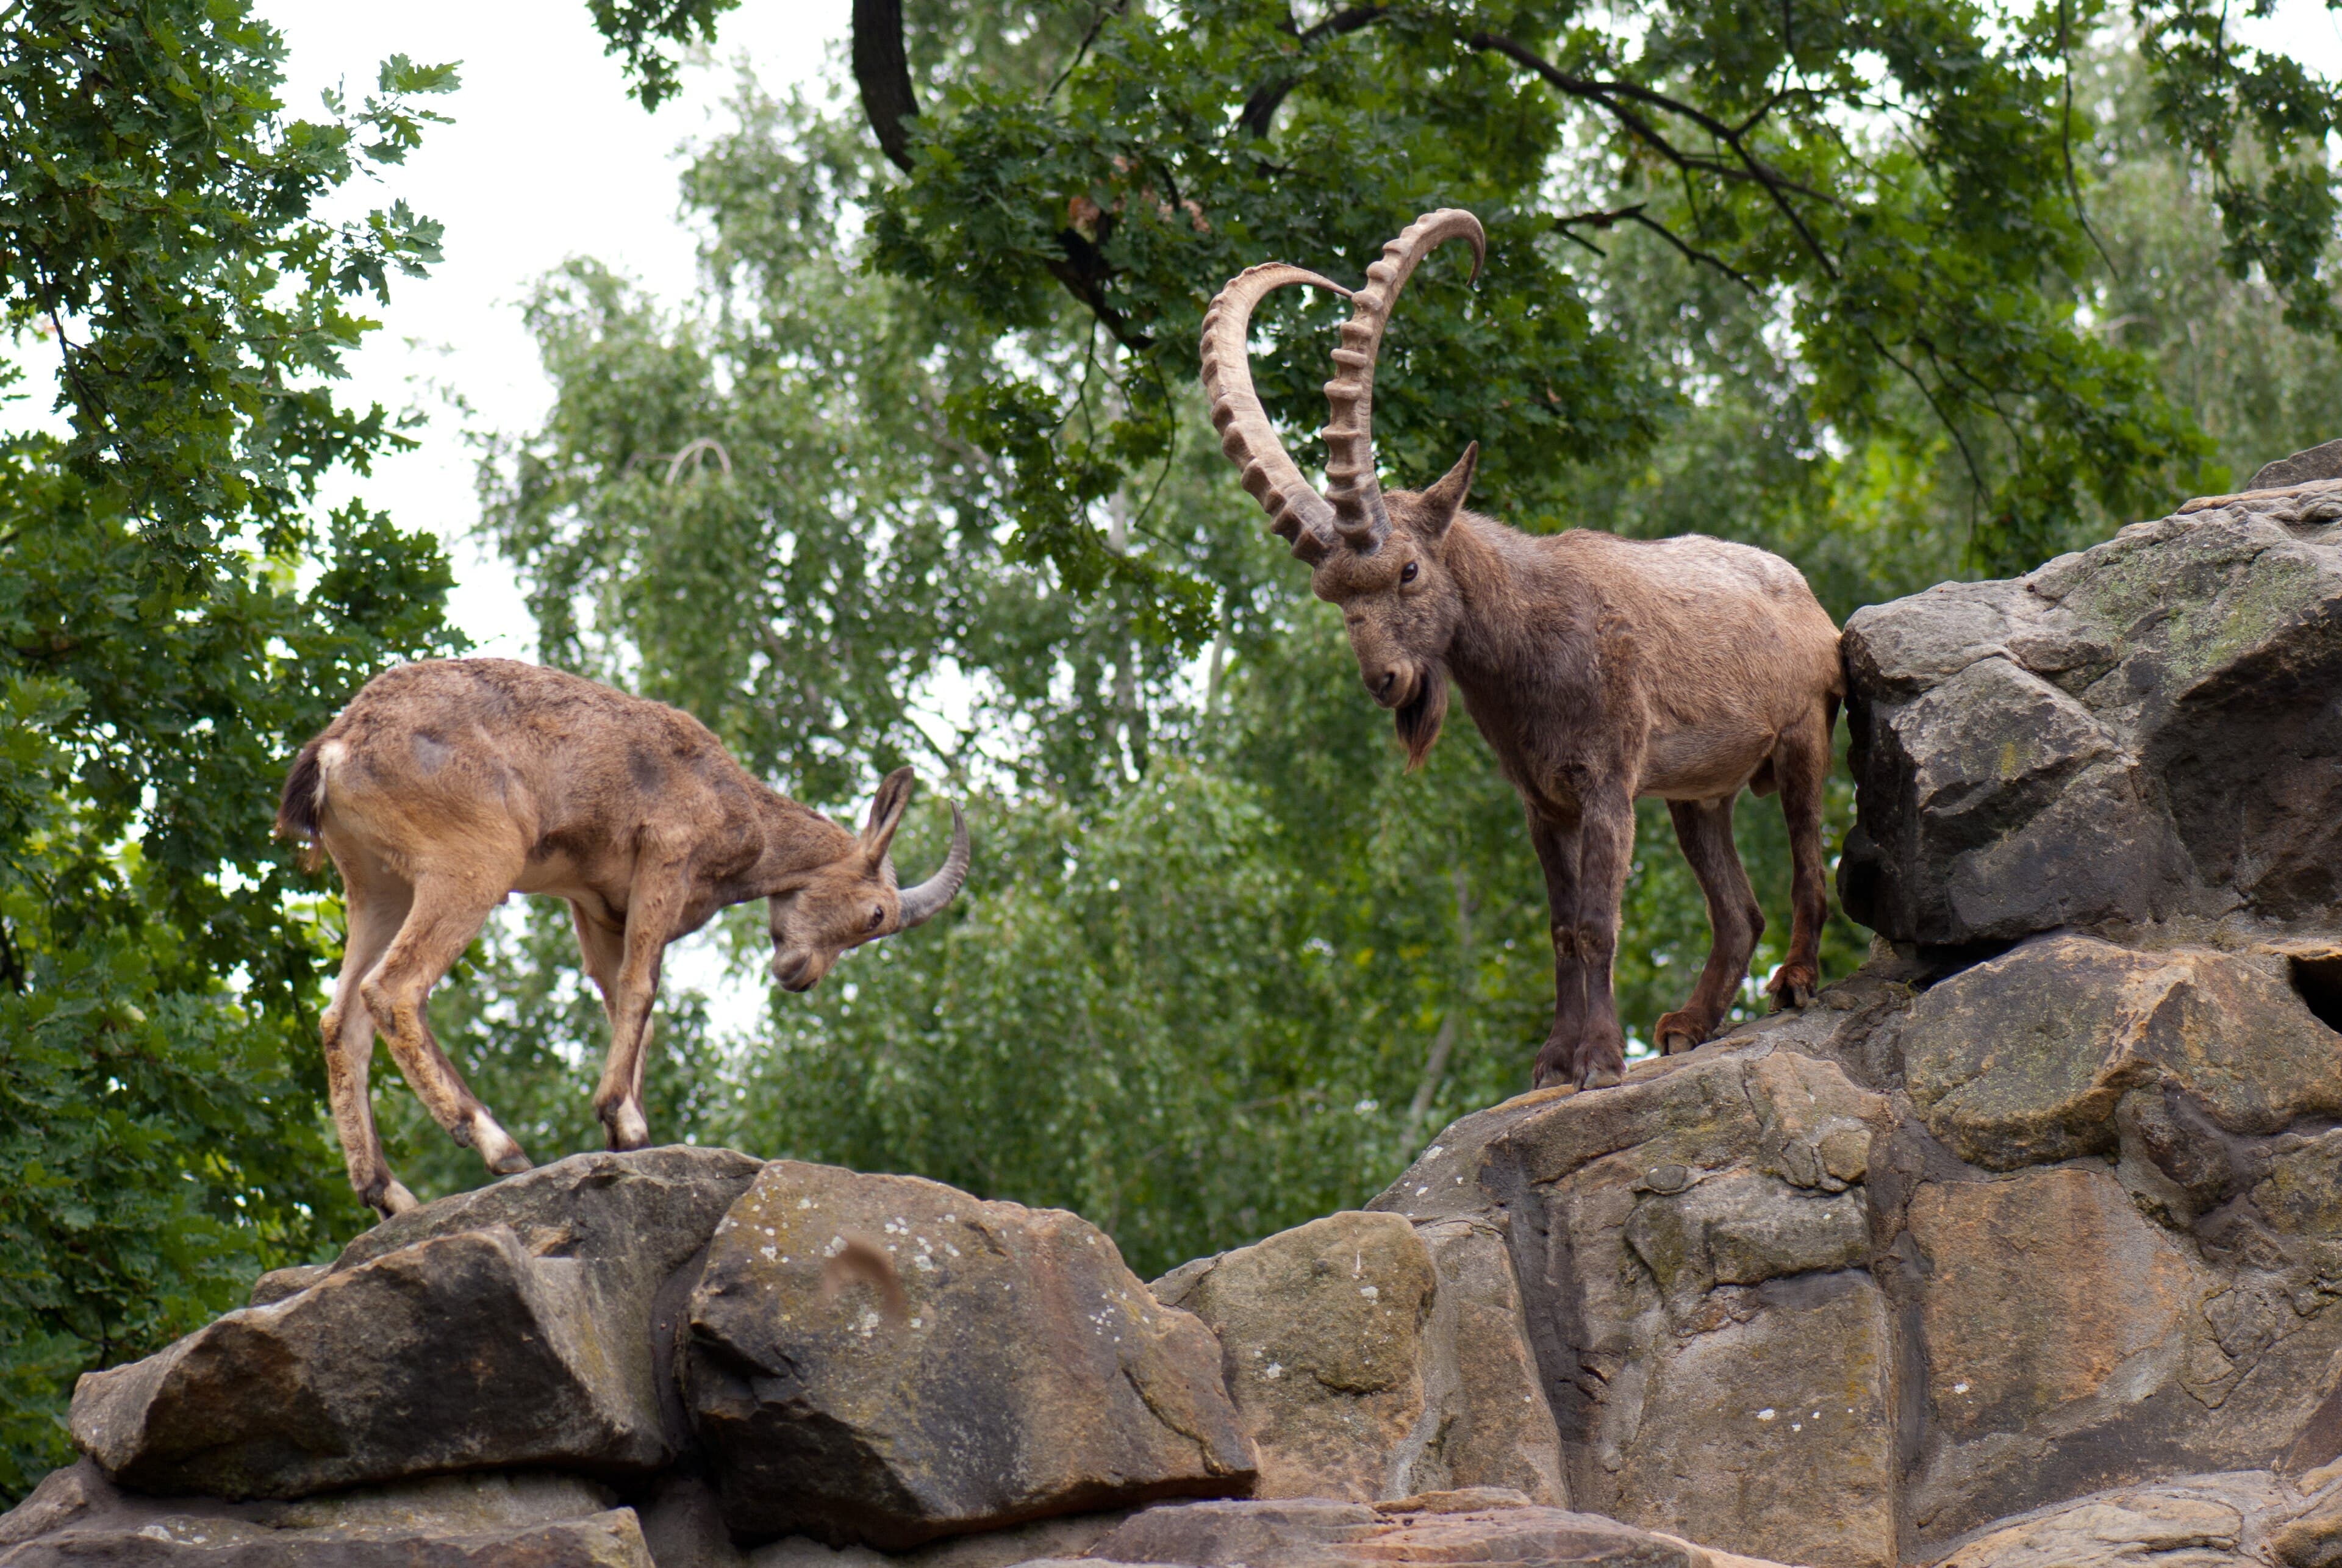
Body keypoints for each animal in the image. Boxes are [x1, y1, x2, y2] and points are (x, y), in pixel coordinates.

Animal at [276, 658, 969, 1216]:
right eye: (875, 916)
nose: (800, 974)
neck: (742, 809)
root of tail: (335, 749)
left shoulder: (598, 907)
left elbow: (623, 1003)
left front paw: (629, 1129)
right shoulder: (666, 857)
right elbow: (642, 988)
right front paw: (620, 1118)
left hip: (377, 885)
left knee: (340, 1019)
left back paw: (387, 1192)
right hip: (472, 863)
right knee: (393, 991)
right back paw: (499, 1146)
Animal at [1201, 210, 1844, 1090]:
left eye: (1408, 569)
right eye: (1331, 595)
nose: (1385, 680)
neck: (1529, 643)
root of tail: (1812, 603)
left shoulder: (1607, 785)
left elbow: (1599, 922)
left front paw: (1599, 1059)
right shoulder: (1544, 804)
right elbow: (1562, 930)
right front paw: (1552, 1063)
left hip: (1802, 737)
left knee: (1810, 864)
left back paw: (1797, 981)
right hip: (1697, 793)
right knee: (1738, 910)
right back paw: (1688, 1023)